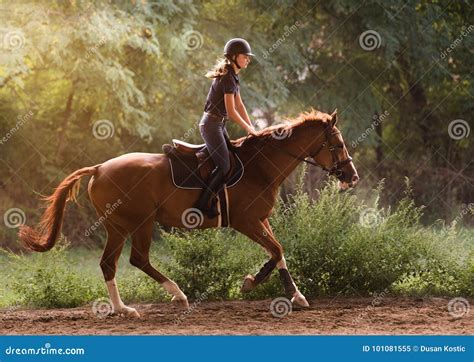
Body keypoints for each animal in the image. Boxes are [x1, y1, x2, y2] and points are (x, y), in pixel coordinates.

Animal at [19, 109, 360, 318]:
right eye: (338, 144)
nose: (352, 177)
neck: (260, 166)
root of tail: (100, 168)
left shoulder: (260, 220)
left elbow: (279, 252)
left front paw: (293, 294)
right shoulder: (246, 221)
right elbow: (276, 251)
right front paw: (252, 283)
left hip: (118, 226)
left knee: (110, 263)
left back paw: (122, 309)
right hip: (139, 222)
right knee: (136, 259)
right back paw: (175, 295)